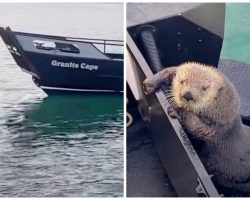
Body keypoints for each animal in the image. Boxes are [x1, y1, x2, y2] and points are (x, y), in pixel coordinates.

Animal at [144, 61, 250, 196]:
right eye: (182, 81)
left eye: (204, 88)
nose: (188, 95)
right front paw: (151, 82)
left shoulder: (220, 127)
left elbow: (198, 127)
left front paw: (177, 111)